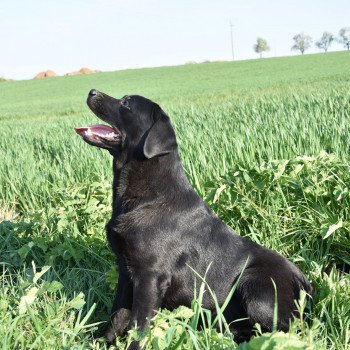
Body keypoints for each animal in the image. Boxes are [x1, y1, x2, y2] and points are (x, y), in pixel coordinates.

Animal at [76, 90, 312, 348]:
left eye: (126, 103)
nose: (91, 91)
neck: (148, 194)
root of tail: (305, 281)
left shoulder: (150, 276)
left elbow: (139, 325)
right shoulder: (126, 271)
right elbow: (117, 314)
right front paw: (102, 342)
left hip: (254, 285)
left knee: (290, 329)